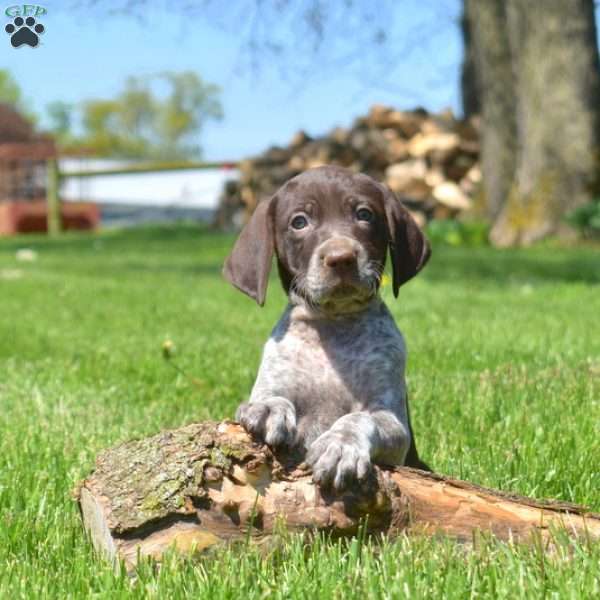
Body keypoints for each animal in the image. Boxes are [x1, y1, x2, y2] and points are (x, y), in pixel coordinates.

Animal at [225, 165, 432, 492]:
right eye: (299, 222)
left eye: (364, 214)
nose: (341, 258)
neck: (333, 324)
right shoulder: (273, 380)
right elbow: (272, 398)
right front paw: (268, 408)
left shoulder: (393, 422)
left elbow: (360, 418)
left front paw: (340, 445)